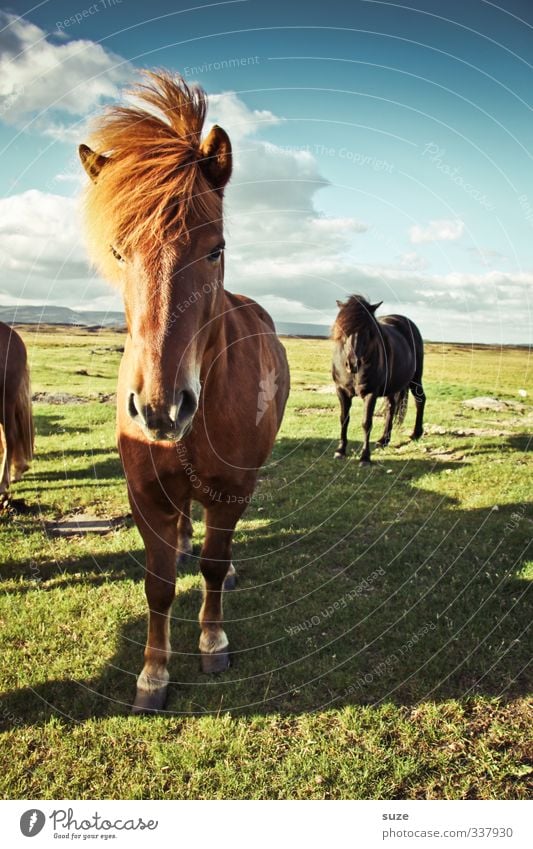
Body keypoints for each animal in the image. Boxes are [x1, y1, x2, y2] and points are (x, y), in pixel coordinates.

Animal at [78, 73, 290, 712]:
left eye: (215, 247)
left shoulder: (232, 490)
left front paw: (212, 644)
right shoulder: (146, 495)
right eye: (118, 251)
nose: (160, 408)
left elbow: (215, 569)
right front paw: (153, 674)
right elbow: (159, 584)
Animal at [330, 294, 426, 464]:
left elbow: (366, 423)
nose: (353, 363)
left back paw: (416, 433)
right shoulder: (341, 391)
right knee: (391, 407)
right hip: (392, 387)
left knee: (420, 400)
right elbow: (344, 419)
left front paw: (365, 457)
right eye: (343, 329)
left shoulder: (370, 393)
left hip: (415, 378)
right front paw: (340, 450)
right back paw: (383, 440)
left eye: (367, 329)